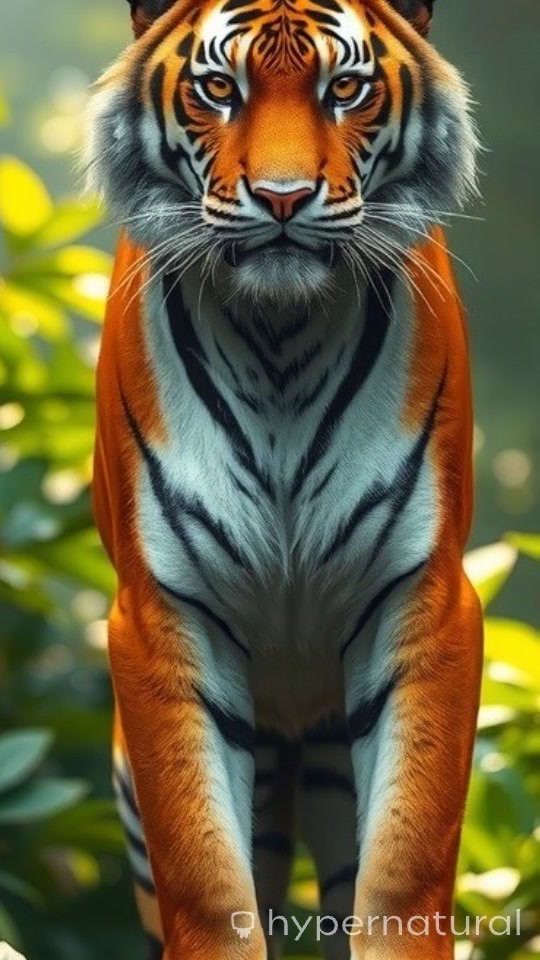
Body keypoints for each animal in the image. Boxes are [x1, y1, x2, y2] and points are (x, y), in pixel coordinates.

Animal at [85, 0, 483, 958]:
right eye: (218, 89)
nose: (283, 199)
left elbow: (405, 868)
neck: (281, 343)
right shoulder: (162, 619)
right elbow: (207, 881)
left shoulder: (426, 601)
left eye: (345, 89)